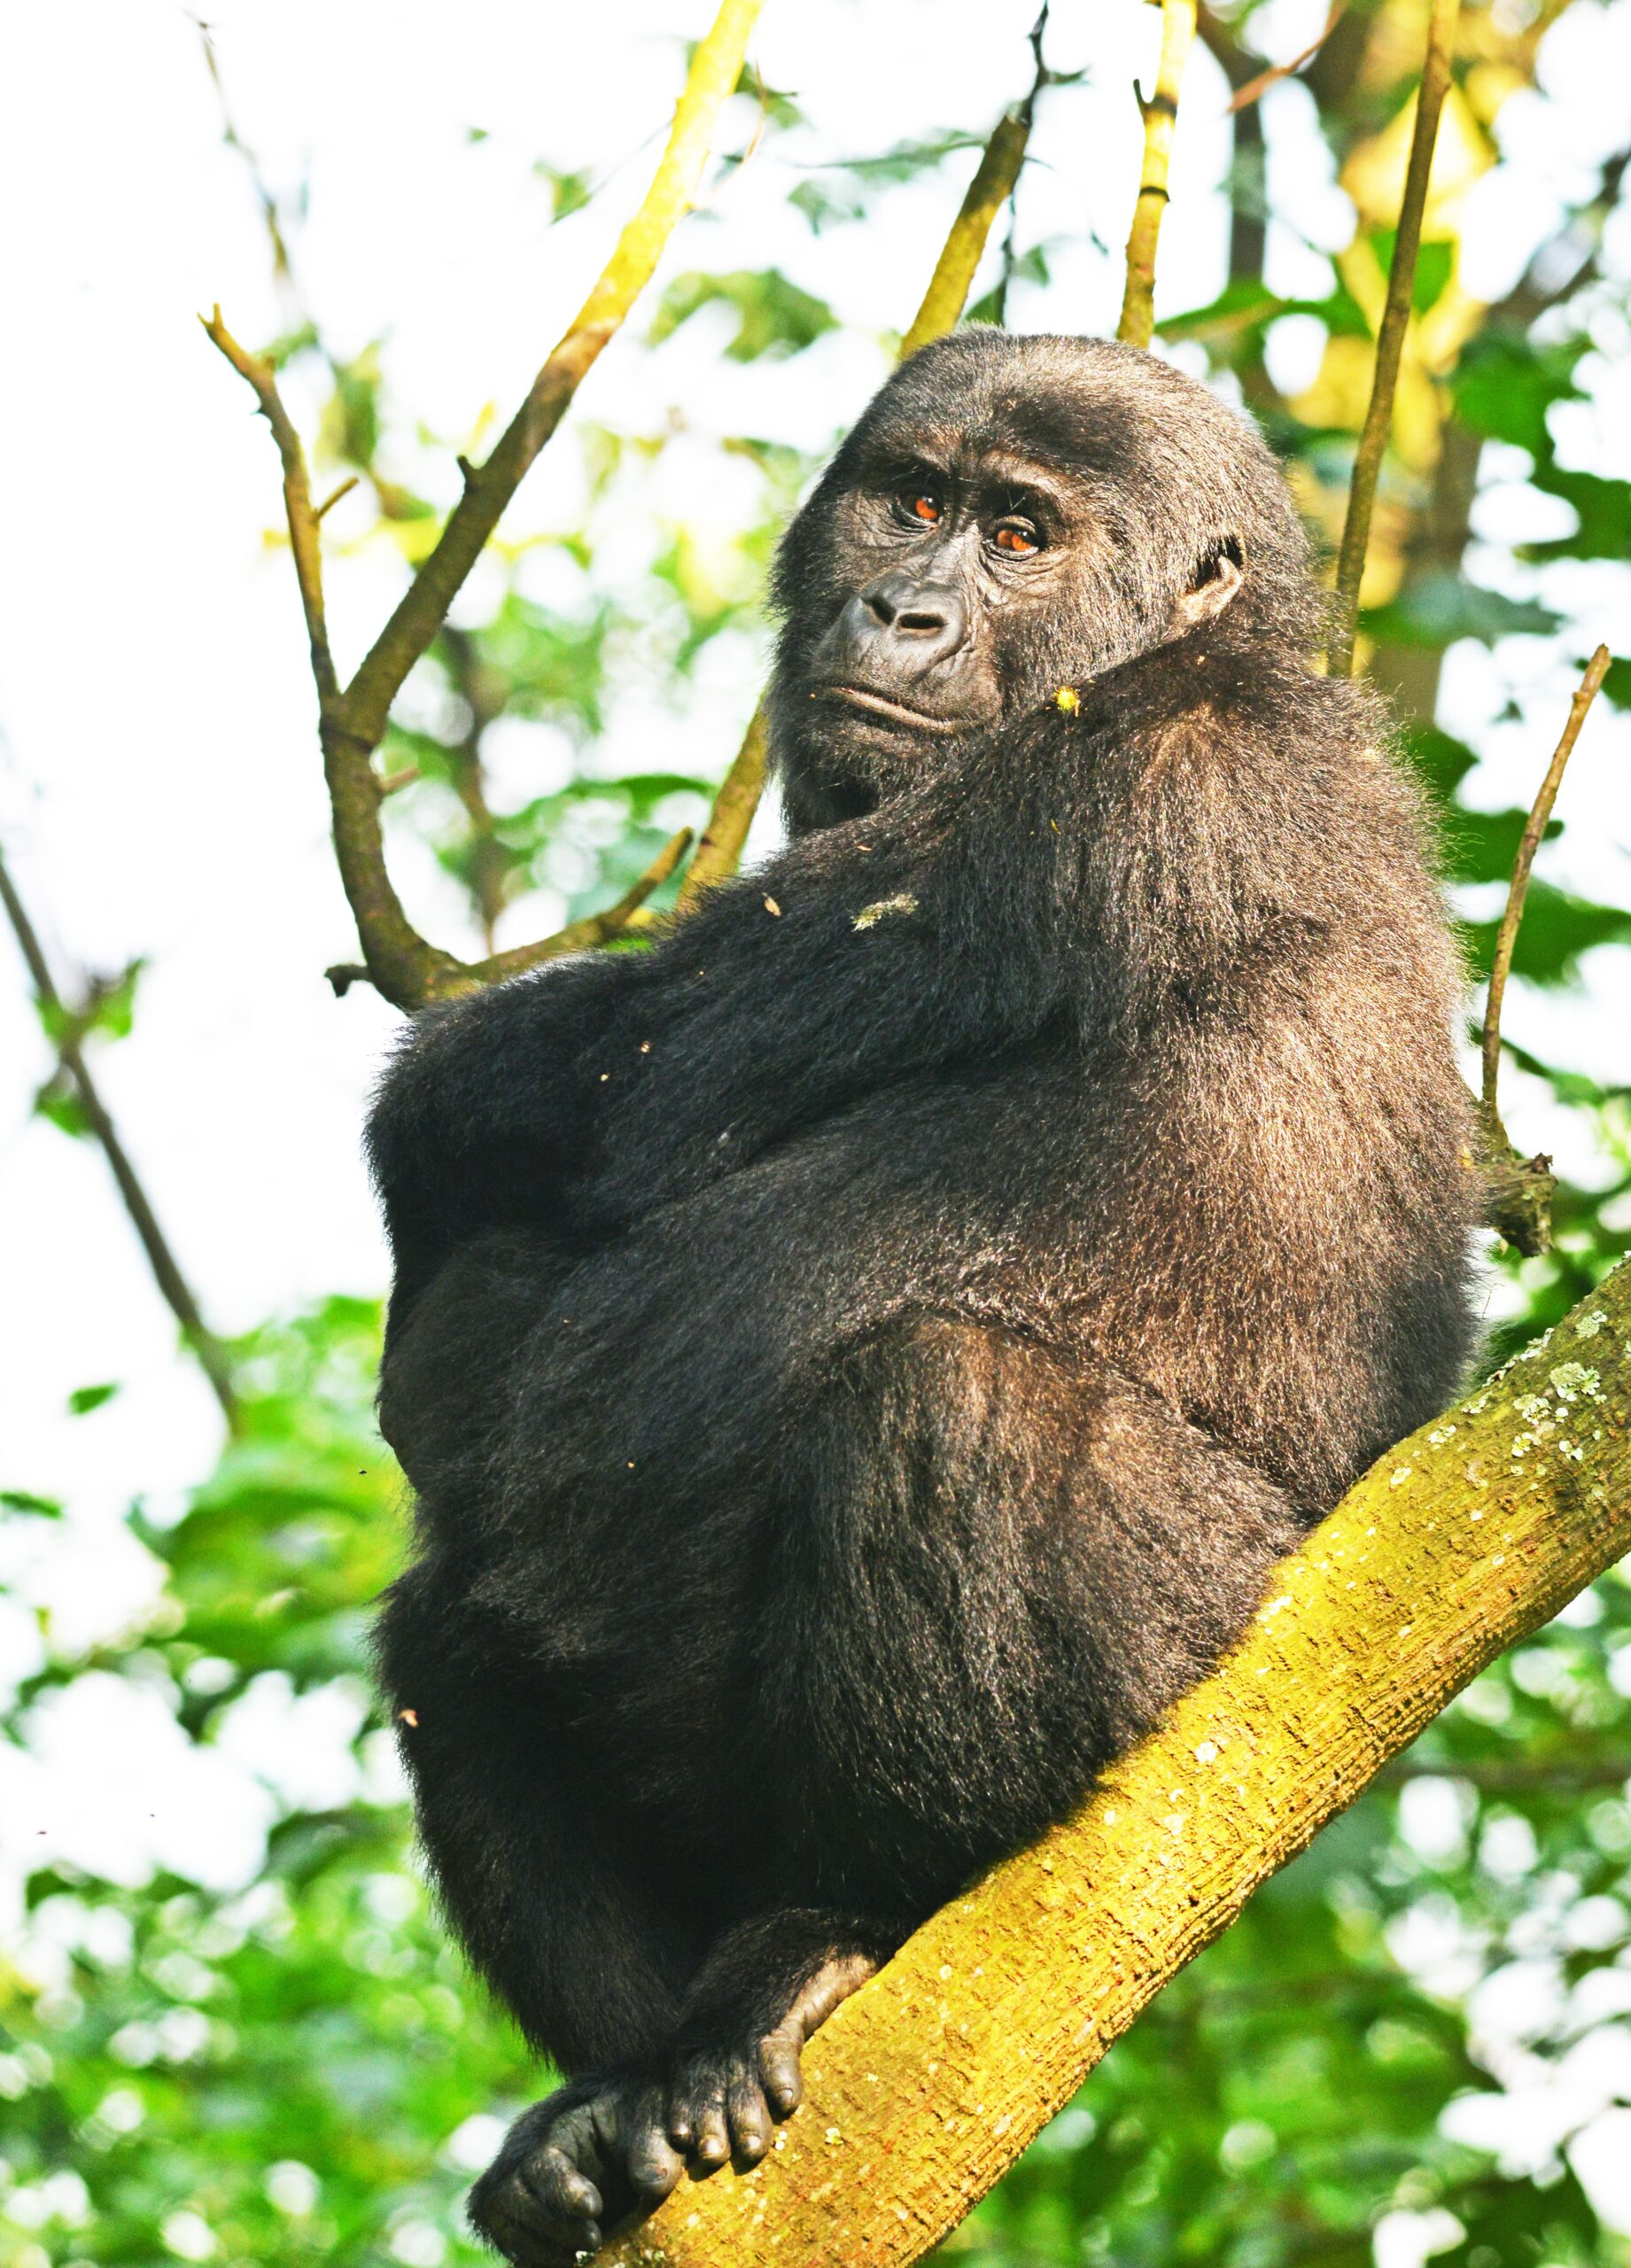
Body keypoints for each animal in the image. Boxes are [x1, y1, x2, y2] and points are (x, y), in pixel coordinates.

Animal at [366, 331, 1478, 2266]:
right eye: (909, 500)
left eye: (1020, 535)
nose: (897, 609)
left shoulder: (1140, 769)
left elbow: (609, 1084)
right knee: (452, 1622)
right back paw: (626, 2096)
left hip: (1200, 1664)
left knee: (947, 1397)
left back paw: (844, 1931)